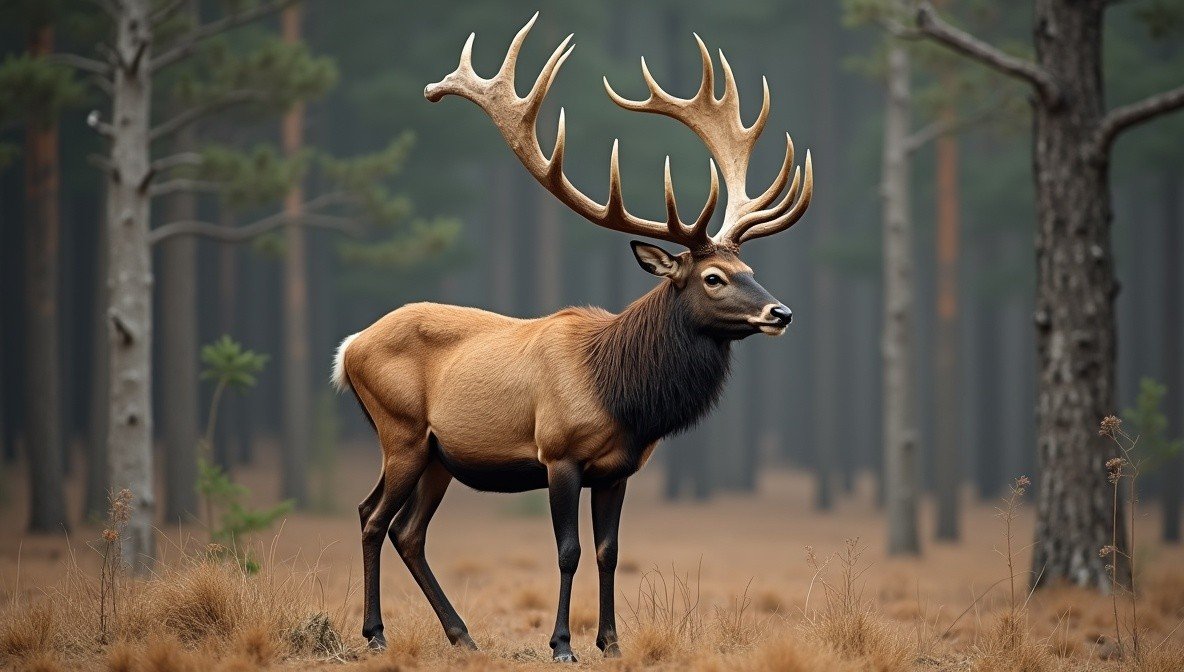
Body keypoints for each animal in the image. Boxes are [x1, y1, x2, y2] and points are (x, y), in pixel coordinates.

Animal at [331, 13, 813, 662]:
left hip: (438, 454)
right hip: (400, 430)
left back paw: (462, 635)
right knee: (373, 518)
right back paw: (377, 632)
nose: (779, 312)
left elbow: (609, 553)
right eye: (713, 277)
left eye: (749, 269)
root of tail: (348, 348)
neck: (624, 396)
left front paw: (610, 642)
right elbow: (568, 552)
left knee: (406, 529)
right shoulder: (558, 452)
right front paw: (562, 643)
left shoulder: (618, 469)